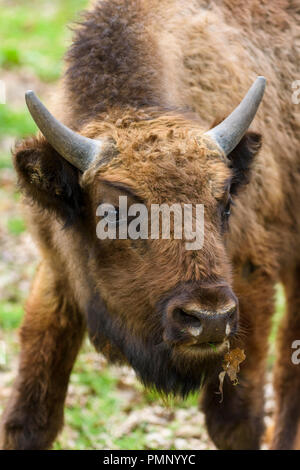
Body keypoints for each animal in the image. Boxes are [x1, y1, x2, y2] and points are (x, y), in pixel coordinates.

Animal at [0, 0, 300, 450]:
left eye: (225, 203)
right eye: (116, 213)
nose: (208, 318)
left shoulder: (250, 284)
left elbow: (236, 420)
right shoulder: (57, 273)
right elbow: (30, 418)